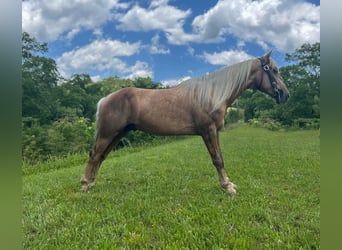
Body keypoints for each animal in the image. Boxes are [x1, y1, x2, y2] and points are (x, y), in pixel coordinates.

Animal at [79, 50, 288, 195]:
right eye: (274, 70)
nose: (285, 95)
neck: (212, 94)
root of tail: (105, 99)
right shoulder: (208, 130)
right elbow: (218, 160)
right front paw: (227, 187)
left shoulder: (213, 131)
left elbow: (219, 158)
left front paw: (228, 184)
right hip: (108, 133)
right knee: (95, 155)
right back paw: (84, 185)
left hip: (118, 134)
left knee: (100, 156)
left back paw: (91, 182)